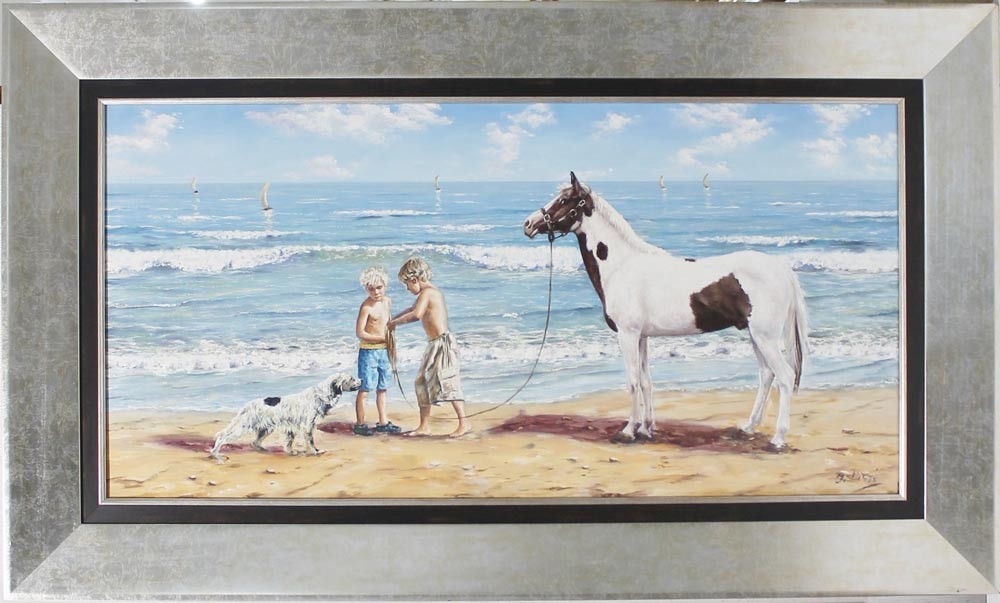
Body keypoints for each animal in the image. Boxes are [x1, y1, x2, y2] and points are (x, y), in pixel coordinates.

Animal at [209, 373, 361, 462]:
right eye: (352, 378)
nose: (362, 379)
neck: (320, 395)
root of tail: (247, 405)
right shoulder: (307, 426)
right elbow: (311, 442)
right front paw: (314, 452)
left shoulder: (291, 428)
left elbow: (288, 443)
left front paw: (291, 452)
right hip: (242, 427)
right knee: (222, 436)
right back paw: (216, 453)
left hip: (265, 428)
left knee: (255, 442)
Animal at [523, 173, 808, 448]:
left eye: (564, 200)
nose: (528, 224)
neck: (622, 266)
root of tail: (780, 268)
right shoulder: (641, 337)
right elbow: (645, 381)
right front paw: (646, 428)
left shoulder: (627, 335)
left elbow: (632, 381)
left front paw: (628, 431)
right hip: (755, 336)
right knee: (766, 375)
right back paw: (748, 427)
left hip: (764, 337)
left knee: (784, 376)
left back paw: (778, 438)